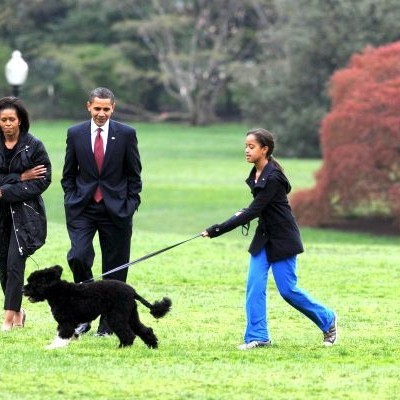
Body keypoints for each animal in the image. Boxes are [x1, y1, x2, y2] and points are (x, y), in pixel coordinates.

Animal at [22, 268, 171, 348]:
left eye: (33, 283)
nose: (23, 289)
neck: (58, 291)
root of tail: (132, 292)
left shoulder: (66, 322)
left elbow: (62, 336)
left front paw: (54, 347)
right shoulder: (68, 323)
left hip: (116, 316)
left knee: (129, 334)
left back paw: (122, 348)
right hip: (130, 315)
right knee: (145, 330)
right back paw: (153, 345)